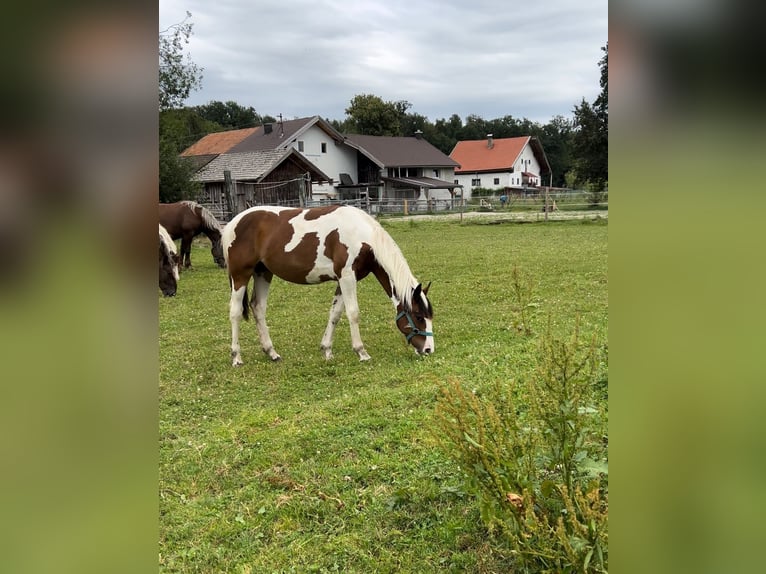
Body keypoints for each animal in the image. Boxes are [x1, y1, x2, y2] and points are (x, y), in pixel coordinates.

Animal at [225, 205, 436, 364]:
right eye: (418, 316)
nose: (428, 349)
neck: (362, 236)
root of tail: (233, 223)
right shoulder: (347, 277)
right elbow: (353, 313)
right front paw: (361, 352)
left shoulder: (344, 280)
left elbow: (335, 314)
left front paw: (327, 350)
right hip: (240, 275)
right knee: (235, 312)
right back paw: (236, 357)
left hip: (263, 273)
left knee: (258, 308)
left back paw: (272, 353)